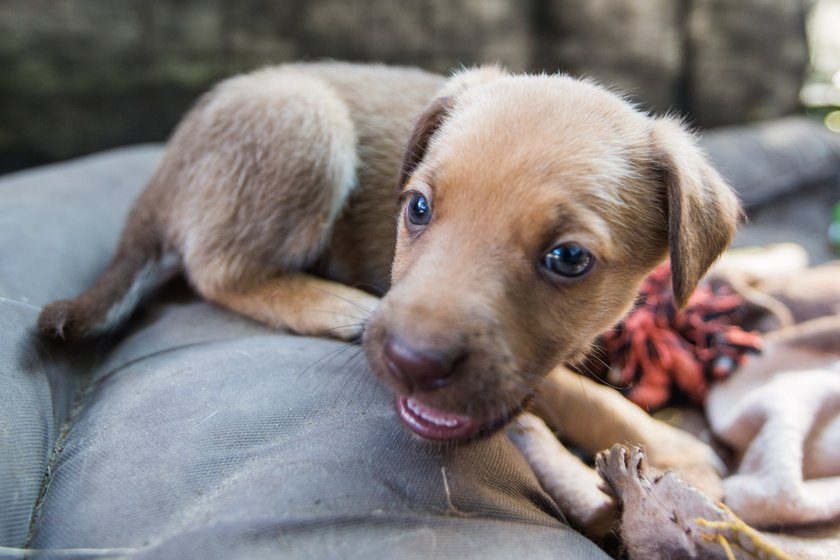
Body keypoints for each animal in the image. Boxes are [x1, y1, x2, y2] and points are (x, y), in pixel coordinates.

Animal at [37, 61, 736, 466]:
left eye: (568, 259)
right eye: (418, 208)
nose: (409, 362)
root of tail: (166, 167)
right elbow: (575, 389)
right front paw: (673, 448)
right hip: (305, 117)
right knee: (218, 270)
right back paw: (336, 304)